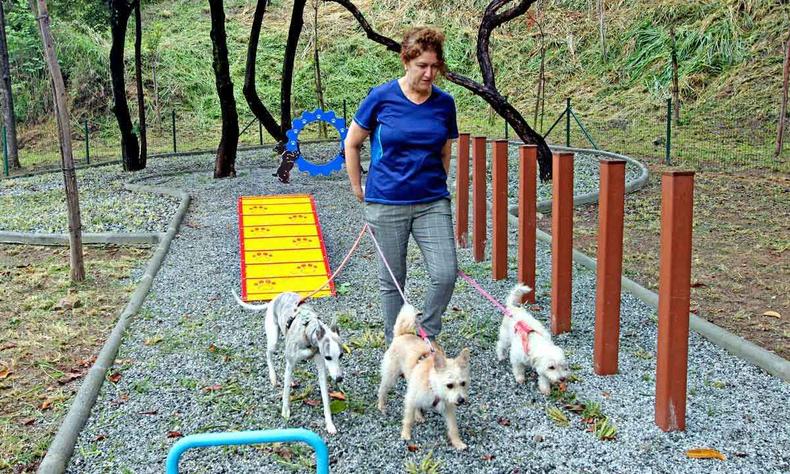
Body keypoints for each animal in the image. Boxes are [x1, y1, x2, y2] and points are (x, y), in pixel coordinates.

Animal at [232, 288, 344, 434]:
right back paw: (273, 377)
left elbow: (325, 398)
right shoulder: (292, 361)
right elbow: (285, 392)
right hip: (273, 340)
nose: (339, 378)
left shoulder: (321, 368)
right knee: (268, 354)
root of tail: (276, 298)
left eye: (341, 355)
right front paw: (285, 412)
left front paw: (329, 424)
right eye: (328, 357)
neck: (308, 332)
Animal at [380, 304, 474, 452]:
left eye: (463, 383)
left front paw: (457, 442)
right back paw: (381, 405)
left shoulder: (448, 408)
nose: (461, 400)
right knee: (382, 390)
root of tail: (402, 334)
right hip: (391, 375)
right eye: (449, 385)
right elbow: (408, 419)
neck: (433, 386)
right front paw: (405, 434)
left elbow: (453, 427)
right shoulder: (411, 399)